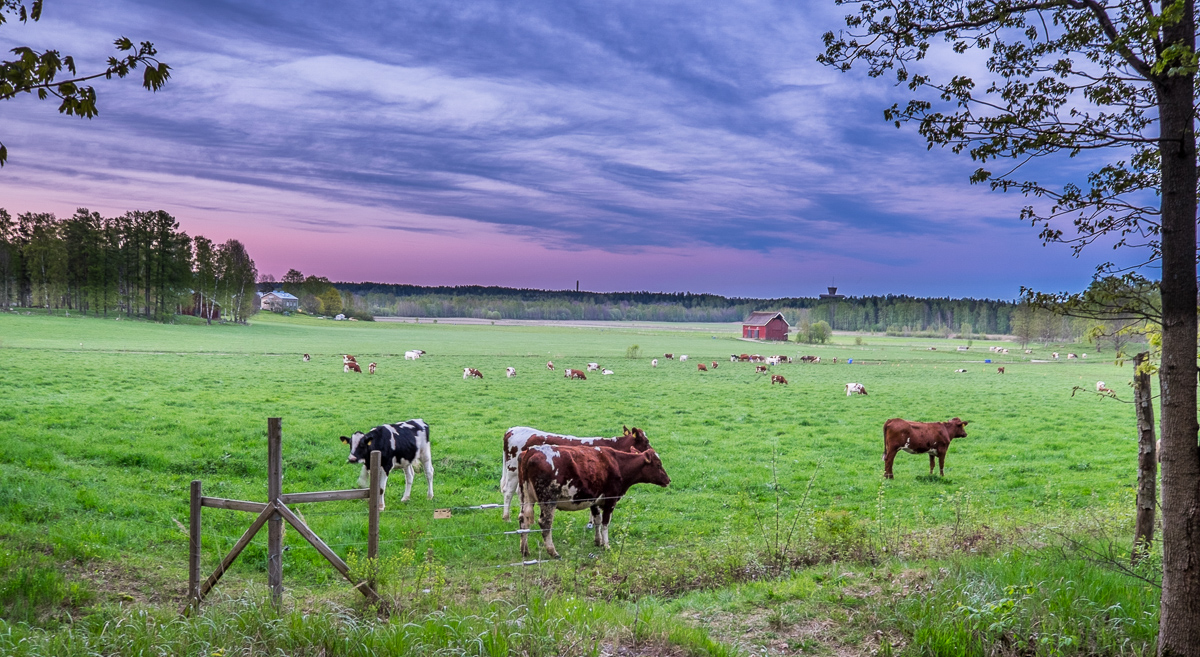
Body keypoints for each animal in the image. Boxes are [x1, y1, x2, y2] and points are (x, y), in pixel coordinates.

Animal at [504, 426, 662, 522]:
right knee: (508, 491)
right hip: (512, 471)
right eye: (646, 441)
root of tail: (512, 430)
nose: (652, 451)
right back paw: (506, 517)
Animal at [516, 443, 672, 556]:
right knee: (545, 523)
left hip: (525, 496)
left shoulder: (594, 499)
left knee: (523, 518)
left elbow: (597, 520)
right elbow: (605, 523)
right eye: (658, 465)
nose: (668, 480)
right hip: (548, 499)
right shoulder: (610, 500)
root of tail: (531, 451)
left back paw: (524, 550)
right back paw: (553, 551)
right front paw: (606, 545)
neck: (618, 463)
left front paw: (598, 541)